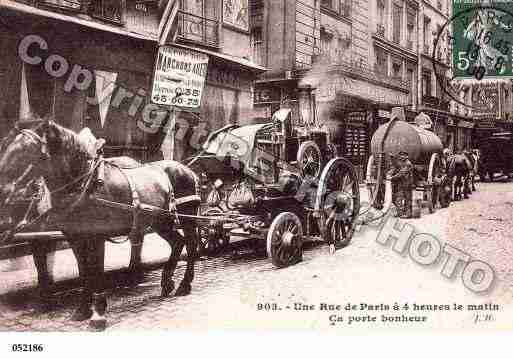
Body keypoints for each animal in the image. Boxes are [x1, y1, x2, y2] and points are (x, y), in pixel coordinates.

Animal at [0, 117, 200, 330]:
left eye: (26, 149)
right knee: (177, 242)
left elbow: (96, 271)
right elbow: (84, 271)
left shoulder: (97, 236)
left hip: (187, 217)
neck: (85, 183)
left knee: (191, 244)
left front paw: (98, 313)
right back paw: (167, 282)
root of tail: (188, 170)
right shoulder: (75, 237)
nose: (3, 190)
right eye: (7, 144)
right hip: (160, 221)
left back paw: (184, 284)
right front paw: (82, 309)